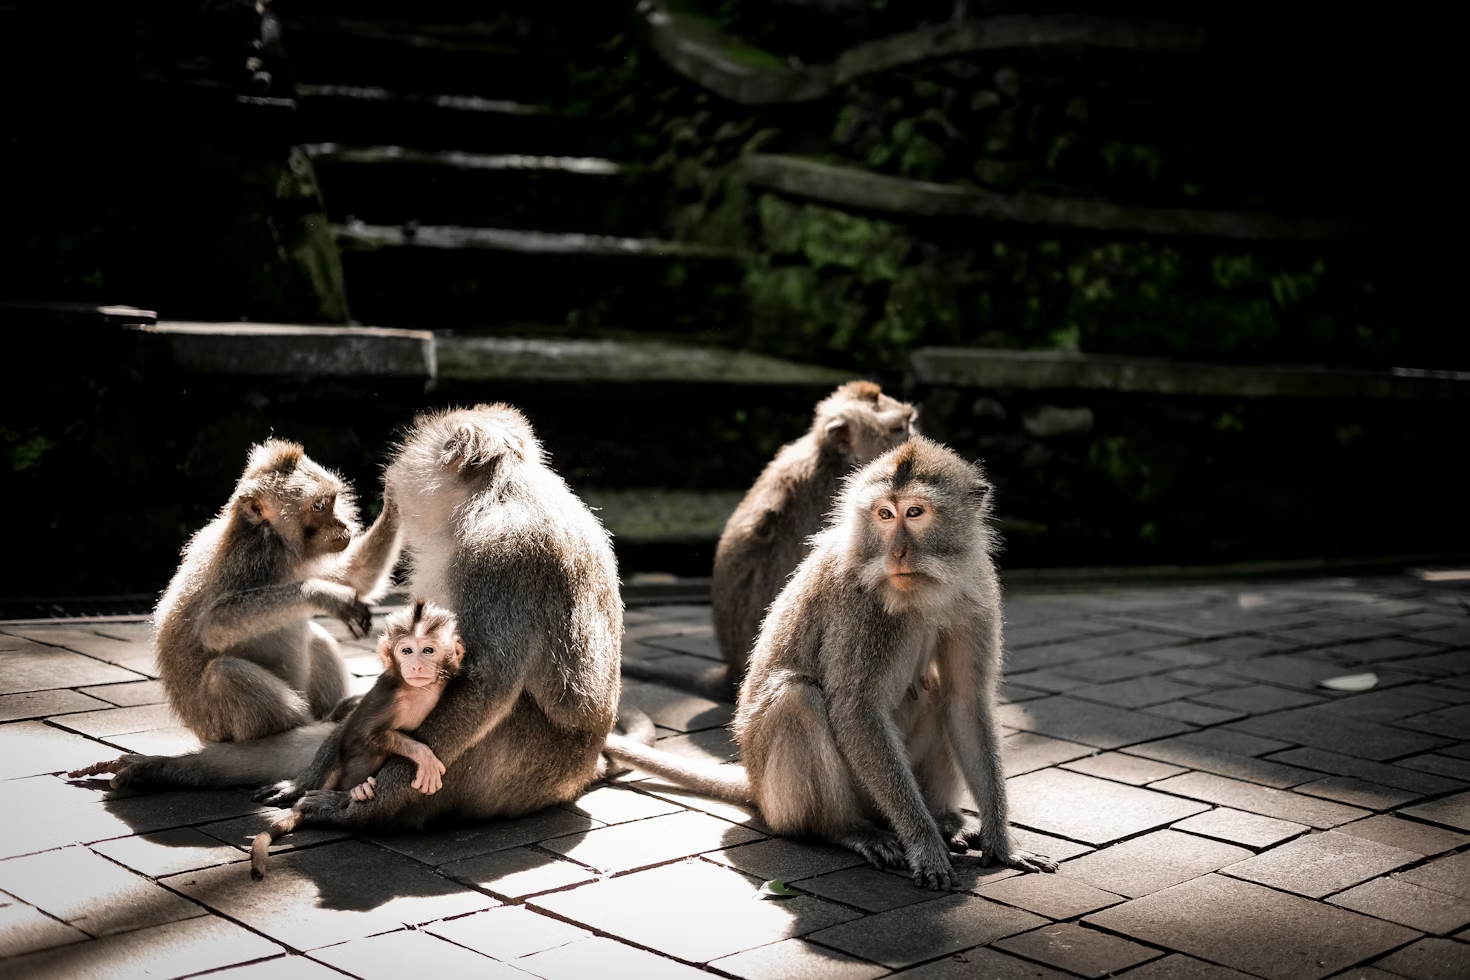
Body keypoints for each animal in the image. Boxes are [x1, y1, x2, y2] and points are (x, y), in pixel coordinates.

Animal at [152, 440, 399, 740]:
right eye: (320, 506)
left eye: (332, 502)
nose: (342, 525)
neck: (277, 541)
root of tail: (202, 732)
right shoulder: (252, 557)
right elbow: (214, 625)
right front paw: (321, 594)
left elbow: (356, 577)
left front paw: (396, 498)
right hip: (219, 725)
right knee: (224, 674)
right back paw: (313, 725)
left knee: (317, 637)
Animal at [249, 599, 461, 881]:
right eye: (407, 650)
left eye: (428, 650)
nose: (416, 666)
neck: (418, 690)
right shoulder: (390, 697)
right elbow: (366, 733)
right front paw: (423, 755)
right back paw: (354, 791)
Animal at [602, 437, 1052, 887]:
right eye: (884, 514)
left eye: (915, 512)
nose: (897, 553)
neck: (923, 591)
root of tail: (754, 785)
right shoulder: (860, 606)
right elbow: (855, 708)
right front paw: (924, 843)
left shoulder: (976, 591)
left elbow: (966, 700)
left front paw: (1001, 843)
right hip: (790, 799)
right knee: (798, 697)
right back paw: (846, 829)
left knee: (937, 689)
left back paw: (945, 819)